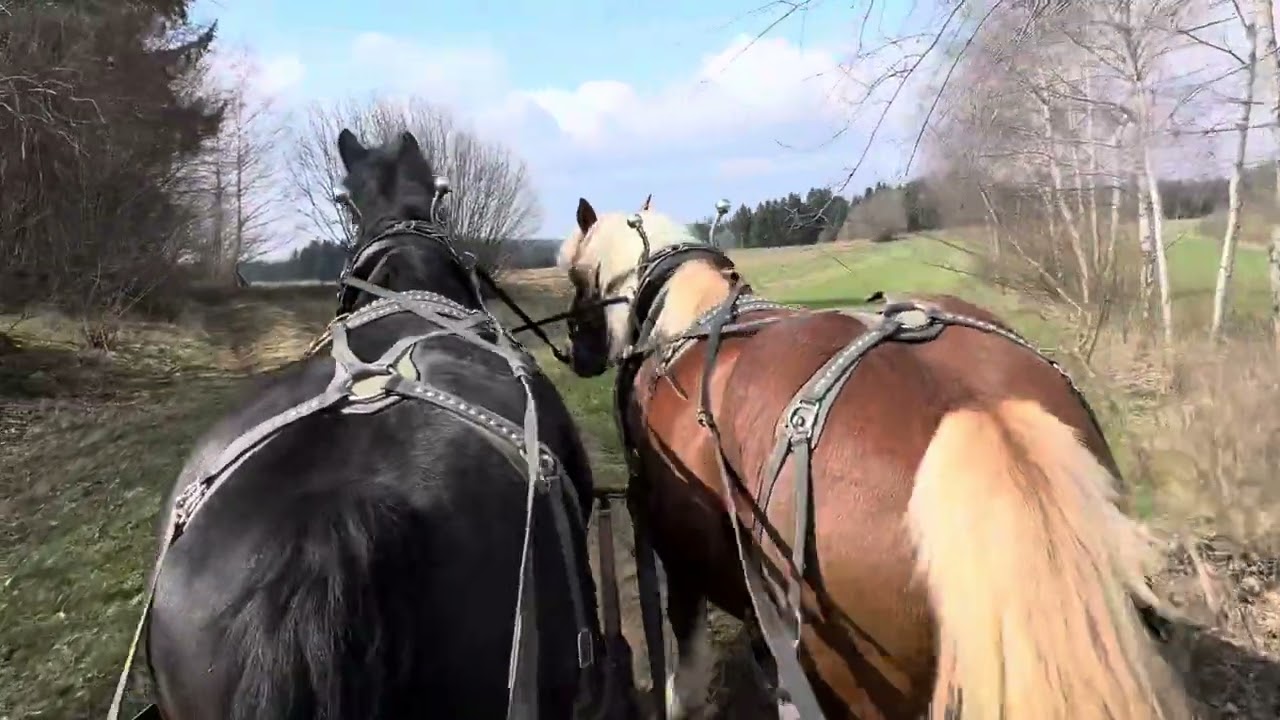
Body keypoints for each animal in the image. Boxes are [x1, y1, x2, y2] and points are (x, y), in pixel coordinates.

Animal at [556, 196, 1193, 720]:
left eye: (573, 273)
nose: (574, 354)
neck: (682, 324)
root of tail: (978, 414)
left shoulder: (672, 549)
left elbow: (685, 664)